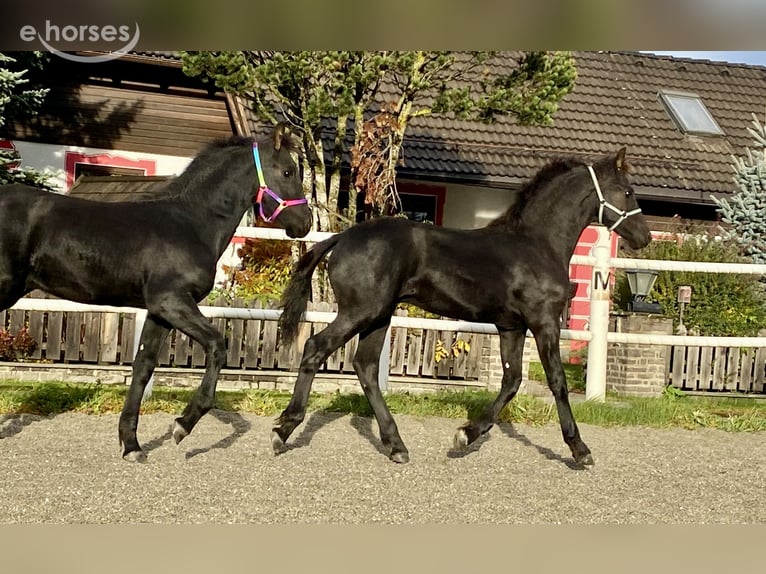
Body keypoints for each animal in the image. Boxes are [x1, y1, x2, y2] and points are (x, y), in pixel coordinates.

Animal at [0, 124, 312, 462]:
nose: (305, 223)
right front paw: (183, 425)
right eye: (288, 170)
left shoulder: (159, 312)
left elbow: (143, 366)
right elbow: (217, 345)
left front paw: (131, 445)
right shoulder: (172, 301)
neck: (192, 223)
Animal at [274, 148, 651, 466]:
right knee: (316, 347)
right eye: (627, 192)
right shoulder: (543, 320)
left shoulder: (511, 326)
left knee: (365, 367)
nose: (644, 237)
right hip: (360, 312)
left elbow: (512, 380)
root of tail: (342, 238)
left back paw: (396, 446)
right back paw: (283, 430)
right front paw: (580, 449)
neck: (536, 245)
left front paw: (466, 435)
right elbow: (556, 380)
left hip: (378, 316)